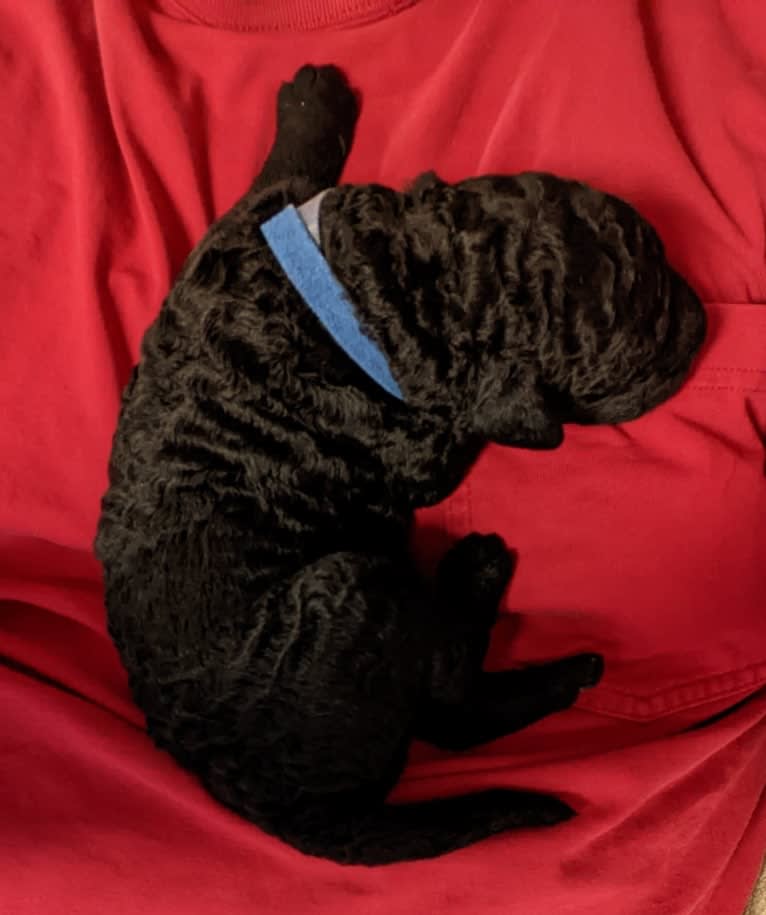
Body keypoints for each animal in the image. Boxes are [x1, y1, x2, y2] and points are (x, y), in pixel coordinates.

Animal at [96, 64, 708, 864]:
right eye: (644, 350)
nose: (703, 319)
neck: (371, 295)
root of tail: (290, 809)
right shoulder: (422, 447)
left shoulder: (236, 242)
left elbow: (281, 176)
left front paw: (309, 98)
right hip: (356, 590)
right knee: (449, 703)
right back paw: (492, 586)